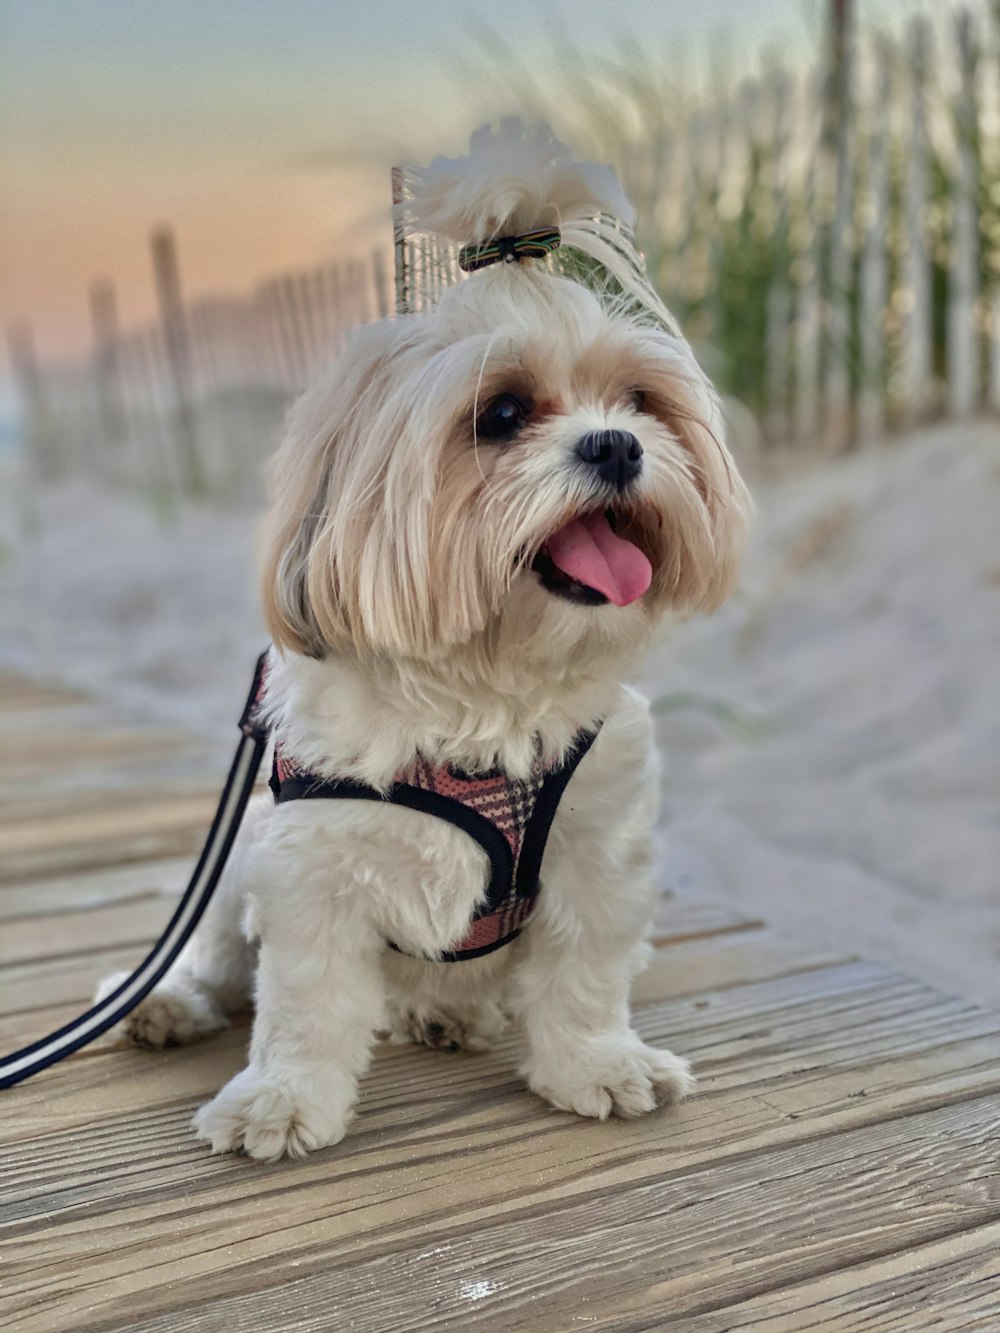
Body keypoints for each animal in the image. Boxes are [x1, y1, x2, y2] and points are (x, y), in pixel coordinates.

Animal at [108, 119, 752, 1157]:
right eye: (502, 413)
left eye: (640, 402)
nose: (617, 444)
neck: (486, 686)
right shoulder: (308, 869)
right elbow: (306, 1004)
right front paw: (281, 1097)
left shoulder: (596, 853)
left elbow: (583, 977)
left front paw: (598, 1063)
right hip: (234, 869)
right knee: (208, 957)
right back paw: (164, 1003)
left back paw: (448, 1013)